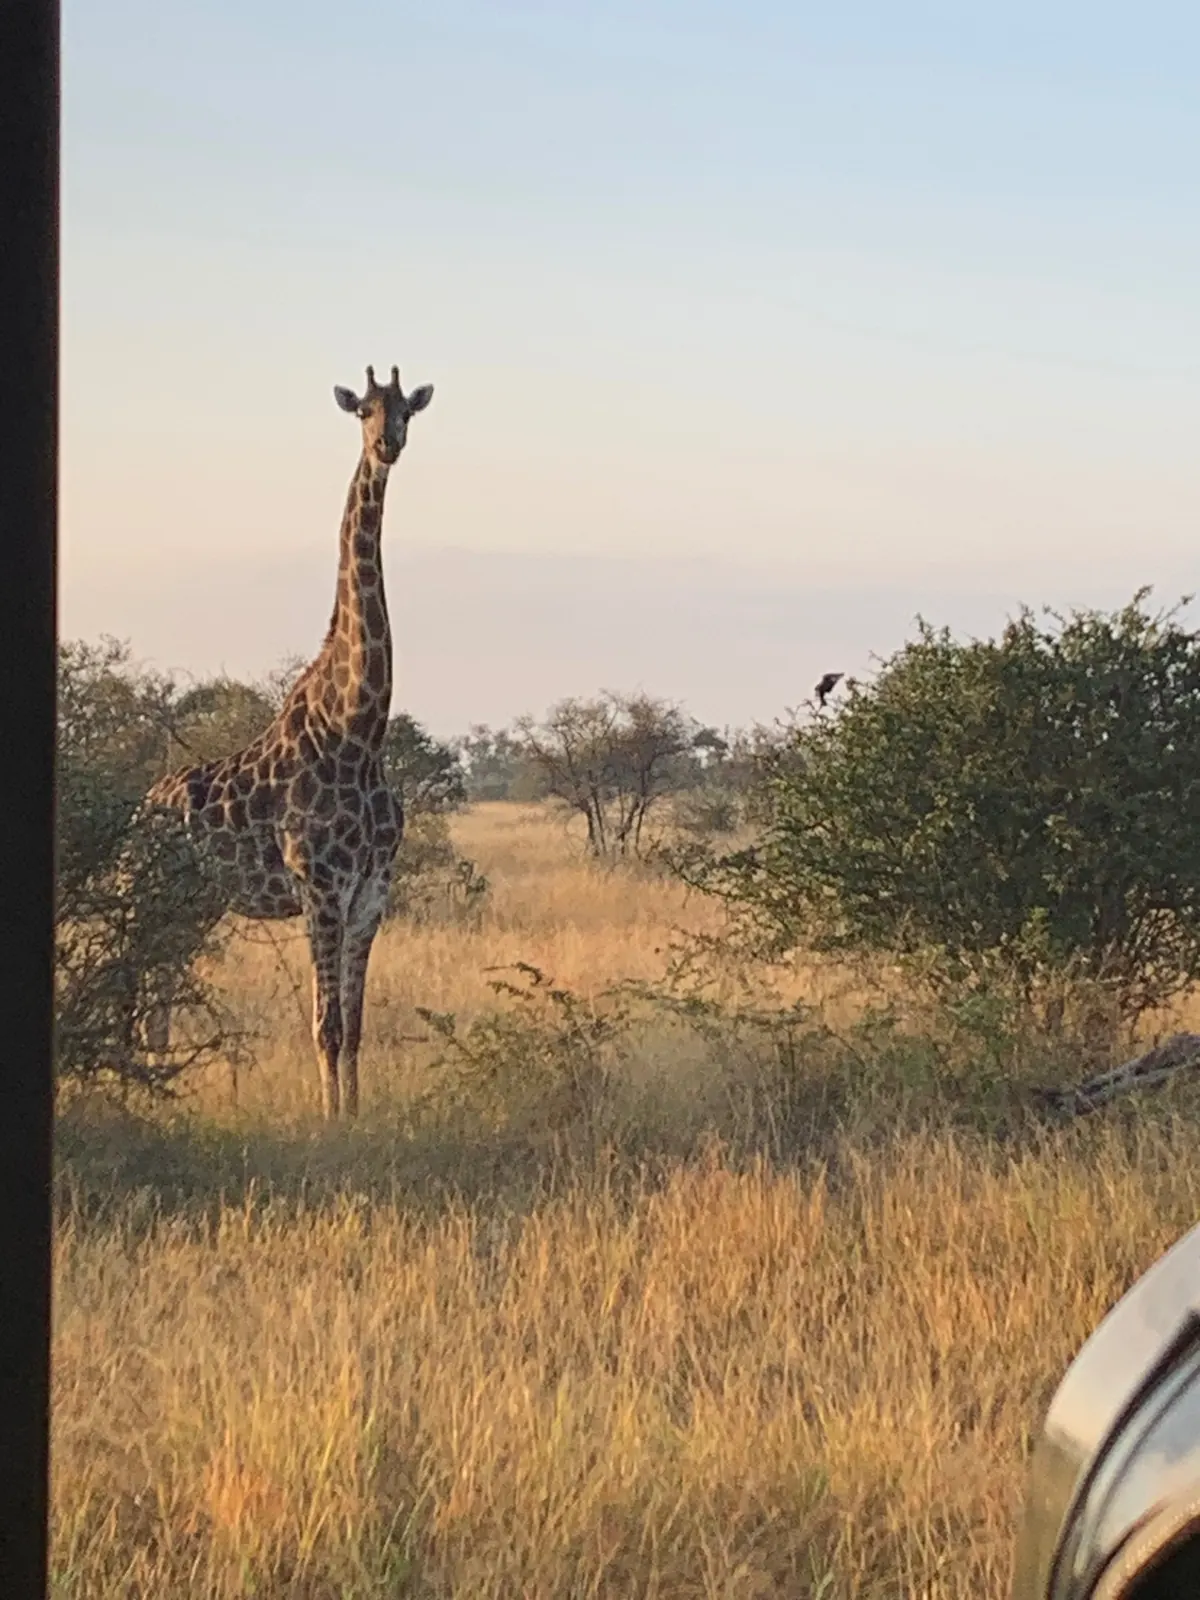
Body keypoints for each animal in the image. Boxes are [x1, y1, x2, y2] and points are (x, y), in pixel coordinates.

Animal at [139, 364, 434, 1117]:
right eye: (362, 409)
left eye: (407, 410)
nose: (387, 445)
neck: (359, 729)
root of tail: (141, 807)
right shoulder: (319, 886)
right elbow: (324, 1025)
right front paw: (330, 1126)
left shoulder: (370, 893)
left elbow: (354, 1026)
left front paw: (354, 1117)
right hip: (160, 901)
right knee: (144, 991)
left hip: (191, 908)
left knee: (156, 999)